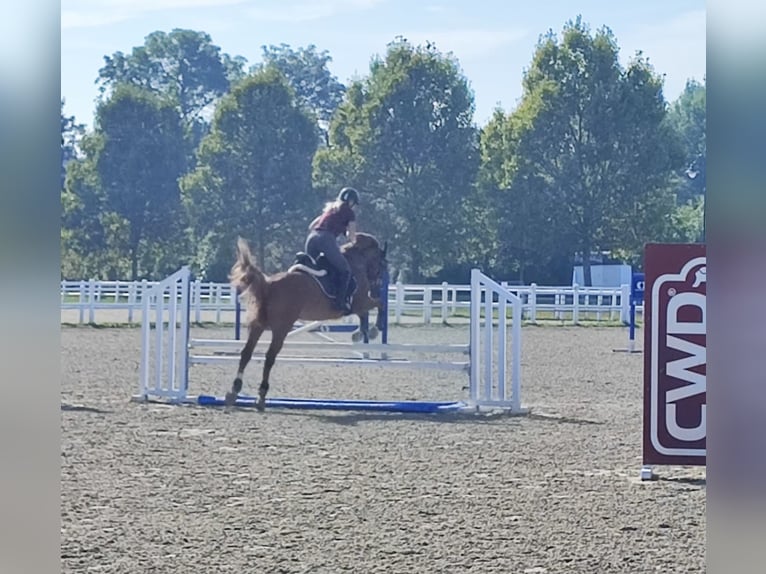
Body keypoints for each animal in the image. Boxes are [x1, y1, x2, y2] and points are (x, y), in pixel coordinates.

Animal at [225, 232, 388, 412]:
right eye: (382, 265)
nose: (377, 285)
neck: (356, 263)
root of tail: (268, 284)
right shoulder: (360, 302)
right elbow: (380, 304)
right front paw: (374, 329)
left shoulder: (359, 306)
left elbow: (366, 315)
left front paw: (361, 333)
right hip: (281, 328)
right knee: (269, 357)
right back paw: (261, 396)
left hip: (258, 326)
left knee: (246, 354)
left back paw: (234, 391)